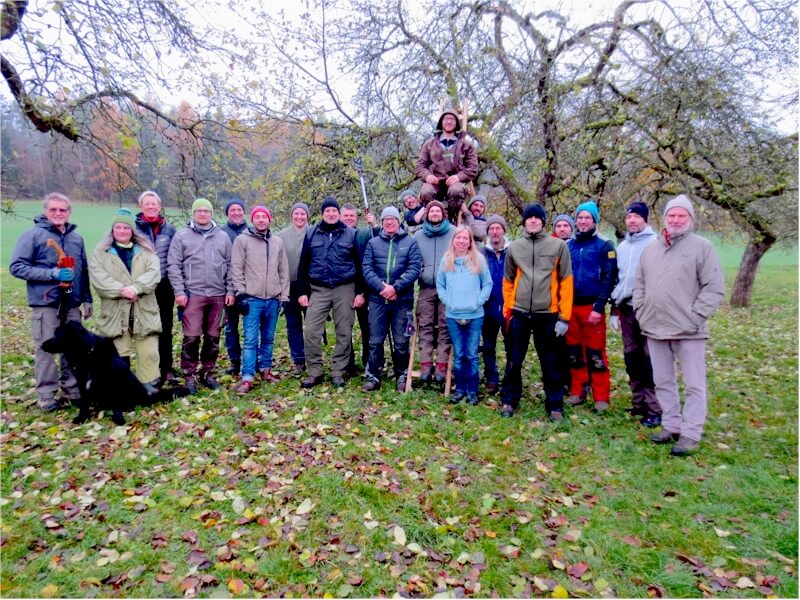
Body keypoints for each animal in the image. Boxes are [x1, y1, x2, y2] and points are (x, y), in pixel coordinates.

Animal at [41, 322, 189, 424]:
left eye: (56, 335)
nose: (42, 345)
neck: (88, 353)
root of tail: (146, 396)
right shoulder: (82, 383)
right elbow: (84, 402)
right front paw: (82, 417)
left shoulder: (112, 381)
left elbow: (115, 403)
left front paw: (118, 418)